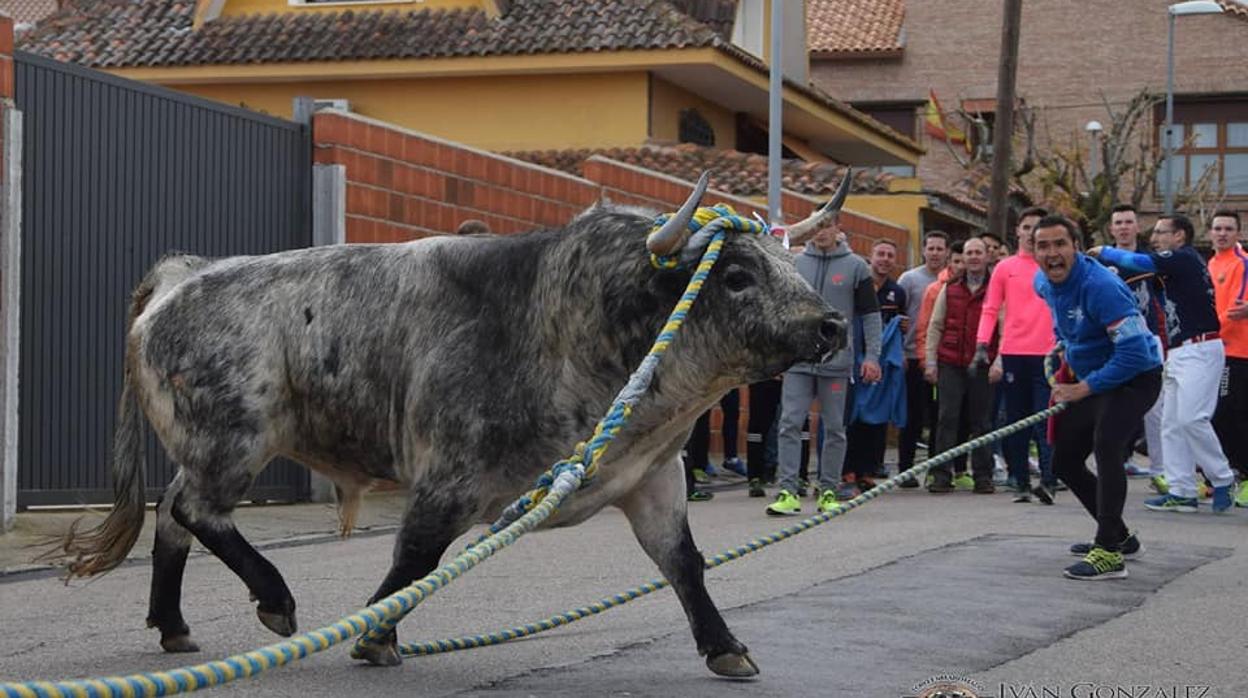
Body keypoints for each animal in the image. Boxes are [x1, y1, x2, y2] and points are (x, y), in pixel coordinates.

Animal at [43, 172, 853, 679]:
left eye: (786, 259)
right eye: (735, 275)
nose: (832, 325)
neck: (569, 324)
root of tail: (185, 273)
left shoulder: (651, 477)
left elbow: (683, 564)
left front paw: (725, 647)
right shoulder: (449, 477)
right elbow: (416, 558)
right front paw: (375, 634)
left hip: (209, 444)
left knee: (173, 520)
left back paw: (174, 625)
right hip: (231, 438)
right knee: (195, 511)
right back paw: (275, 599)